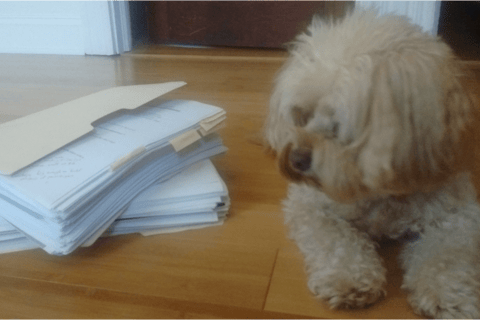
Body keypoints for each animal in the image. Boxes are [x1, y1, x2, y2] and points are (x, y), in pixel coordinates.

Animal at [264, 8, 478, 318]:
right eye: (303, 114)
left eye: (338, 123)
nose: (295, 158)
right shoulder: (311, 206)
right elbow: (336, 240)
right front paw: (349, 278)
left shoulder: (459, 213)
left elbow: (449, 254)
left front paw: (448, 294)